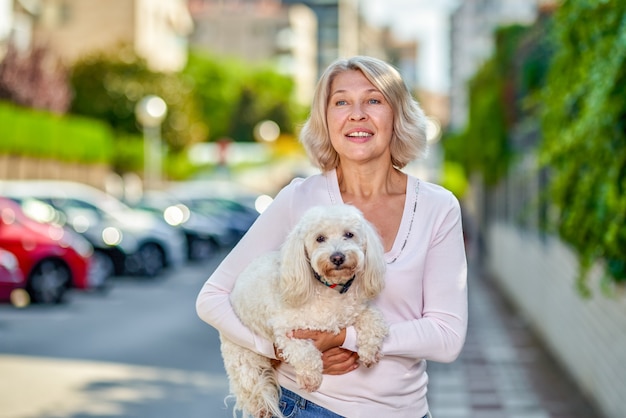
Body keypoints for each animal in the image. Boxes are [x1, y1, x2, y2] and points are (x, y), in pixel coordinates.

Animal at [218, 204, 386, 416]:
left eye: (349, 234)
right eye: (320, 238)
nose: (337, 257)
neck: (331, 288)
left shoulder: (359, 309)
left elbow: (374, 320)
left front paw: (370, 351)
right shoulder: (286, 330)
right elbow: (305, 352)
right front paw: (311, 378)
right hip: (244, 359)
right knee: (252, 387)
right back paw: (262, 408)